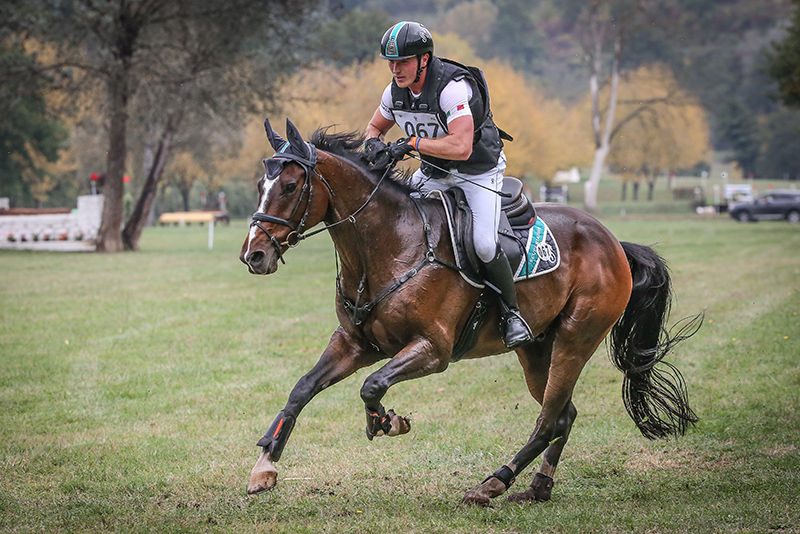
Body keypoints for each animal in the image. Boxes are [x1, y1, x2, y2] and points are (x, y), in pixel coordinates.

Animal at [238, 118, 700, 506]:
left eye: (291, 186)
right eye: (261, 183)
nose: (254, 256)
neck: (389, 245)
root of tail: (614, 243)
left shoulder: (433, 349)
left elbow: (372, 385)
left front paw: (387, 421)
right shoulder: (356, 343)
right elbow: (302, 389)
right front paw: (265, 465)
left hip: (575, 339)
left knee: (549, 419)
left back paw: (493, 483)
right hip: (536, 349)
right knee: (563, 414)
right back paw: (538, 487)